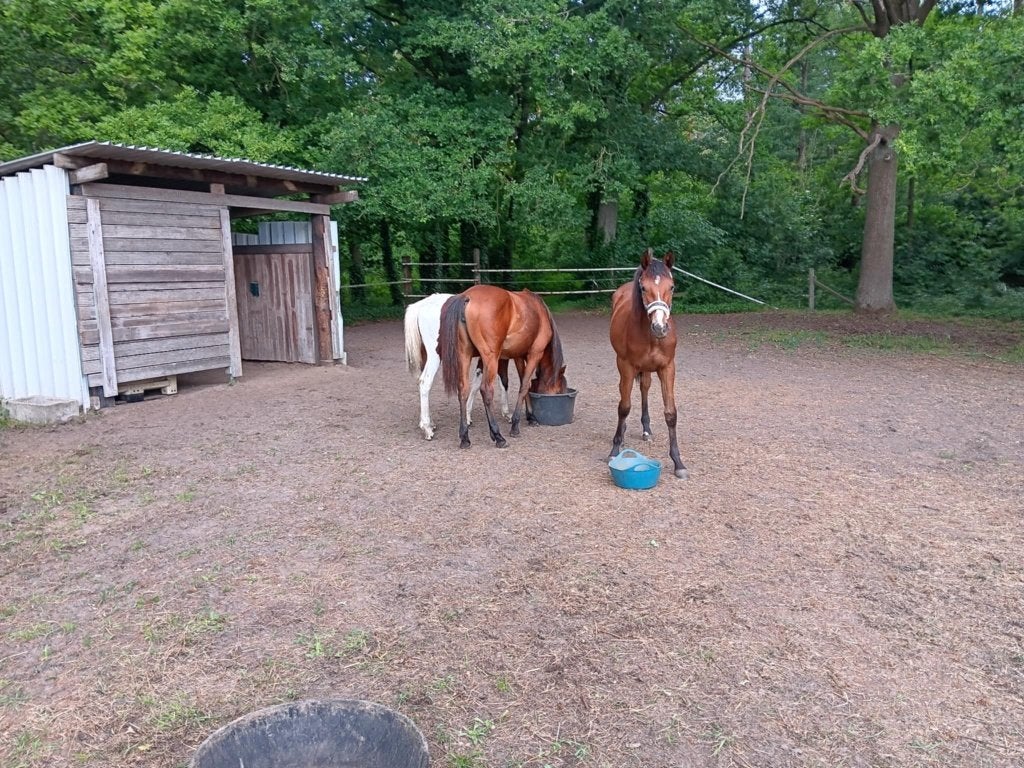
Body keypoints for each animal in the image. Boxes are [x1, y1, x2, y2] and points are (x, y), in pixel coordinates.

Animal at [404, 293, 510, 440]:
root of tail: (420, 306)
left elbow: (478, 383)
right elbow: (502, 380)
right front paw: (507, 413)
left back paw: (430, 423)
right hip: (435, 356)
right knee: (425, 383)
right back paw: (427, 428)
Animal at [439, 285, 567, 448]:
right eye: (559, 389)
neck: (539, 311)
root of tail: (467, 296)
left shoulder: (518, 356)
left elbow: (524, 383)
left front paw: (530, 417)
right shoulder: (535, 353)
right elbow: (524, 386)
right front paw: (515, 425)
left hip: (464, 355)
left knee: (463, 390)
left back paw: (465, 437)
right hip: (491, 359)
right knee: (486, 390)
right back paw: (498, 436)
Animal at [608, 249, 688, 479]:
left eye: (672, 286)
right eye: (644, 288)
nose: (660, 327)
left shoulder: (667, 368)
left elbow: (671, 413)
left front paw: (678, 463)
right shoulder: (626, 366)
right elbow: (624, 407)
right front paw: (615, 449)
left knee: (644, 387)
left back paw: (646, 429)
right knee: (624, 393)